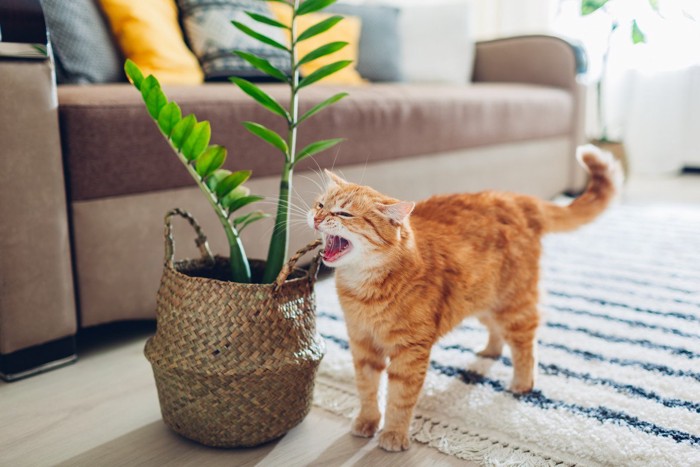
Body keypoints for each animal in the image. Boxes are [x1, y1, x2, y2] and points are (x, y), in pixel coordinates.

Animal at [308, 147, 620, 454]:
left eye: (344, 213)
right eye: (321, 205)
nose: (317, 218)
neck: (364, 290)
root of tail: (514, 197)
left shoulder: (409, 352)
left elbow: (399, 399)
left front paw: (394, 434)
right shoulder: (362, 345)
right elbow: (367, 389)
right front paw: (367, 421)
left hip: (513, 304)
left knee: (525, 344)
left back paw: (522, 384)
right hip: (482, 301)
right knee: (497, 332)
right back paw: (490, 351)